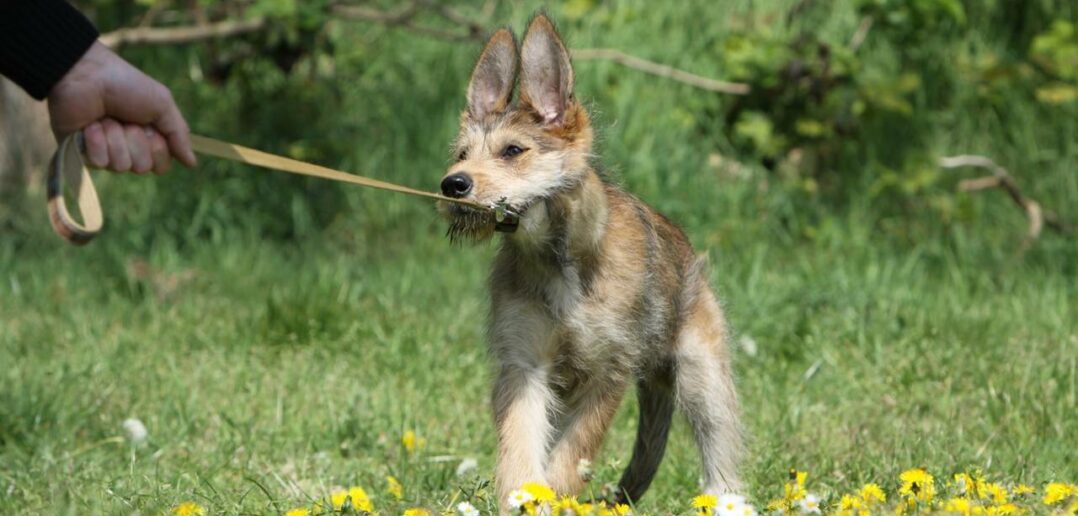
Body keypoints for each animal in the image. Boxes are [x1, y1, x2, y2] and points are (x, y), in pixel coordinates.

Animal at [437, 14, 741, 510]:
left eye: (513, 151)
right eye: (461, 155)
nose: (452, 185)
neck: (560, 261)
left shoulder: (607, 373)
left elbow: (570, 458)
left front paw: (553, 499)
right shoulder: (525, 368)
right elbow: (521, 450)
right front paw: (523, 499)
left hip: (703, 378)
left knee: (722, 455)